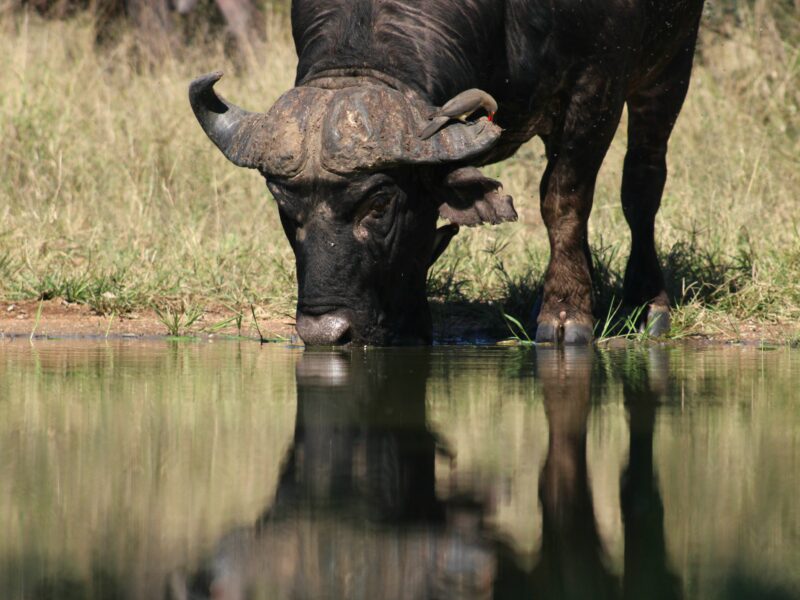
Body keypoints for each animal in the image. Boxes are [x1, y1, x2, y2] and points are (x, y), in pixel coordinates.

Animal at [190, 0, 705, 345]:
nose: (323, 333)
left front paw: (566, 313)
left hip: (671, 65)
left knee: (642, 182)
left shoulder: (595, 86)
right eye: (284, 207)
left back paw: (647, 303)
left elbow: (563, 200)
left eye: (379, 203)